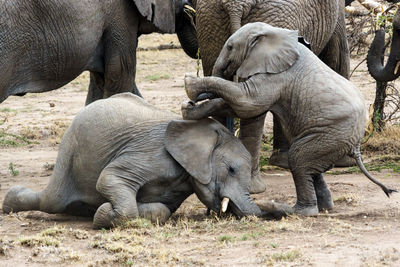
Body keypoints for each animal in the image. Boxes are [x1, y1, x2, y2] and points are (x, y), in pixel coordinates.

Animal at [1, 93, 290, 229]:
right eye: (230, 169)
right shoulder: (152, 154)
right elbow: (109, 177)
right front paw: (103, 214)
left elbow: (162, 210)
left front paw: (103, 210)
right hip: (70, 150)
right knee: (52, 200)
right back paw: (9, 204)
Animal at [184, 22, 396, 217]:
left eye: (229, 47)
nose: (192, 101)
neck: (273, 32)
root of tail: (357, 147)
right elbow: (238, 104)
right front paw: (187, 110)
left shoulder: (278, 76)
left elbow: (247, 102)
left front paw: (189, 85)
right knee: (311, 166)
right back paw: (324, 208)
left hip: (334, 133)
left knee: (298, 158)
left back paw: (298, 211)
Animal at [192, 0, 352, 194]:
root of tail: (235, 4)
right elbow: (337, 57)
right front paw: (345, 161)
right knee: (254, 105)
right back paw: (254, 187)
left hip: (210, 22)